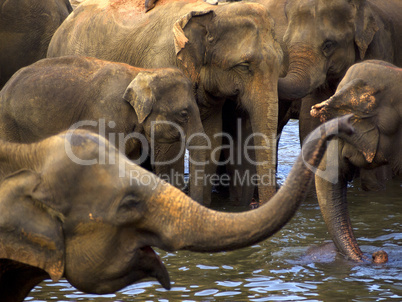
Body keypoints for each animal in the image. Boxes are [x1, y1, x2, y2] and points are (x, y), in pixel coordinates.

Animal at [47, 0, 284, 206]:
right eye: (244, 66)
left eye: (281, 64)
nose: (254, 205)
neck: (213, 12)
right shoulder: (162, 64)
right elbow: (170, 148)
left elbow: (212, 139)